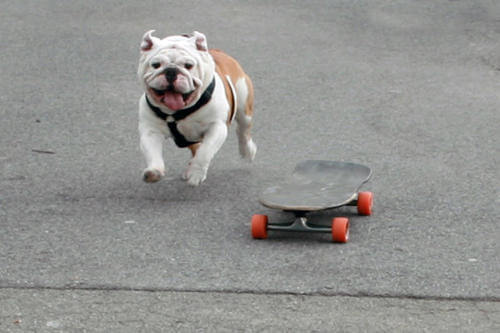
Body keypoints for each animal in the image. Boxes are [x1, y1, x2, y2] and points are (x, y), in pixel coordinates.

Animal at [138, 31, 258, 185]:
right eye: (156, 65)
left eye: (188, 65)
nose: (171, 70)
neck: (177, 112)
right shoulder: (150, 131)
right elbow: (152, 152)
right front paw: (154, 171)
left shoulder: (216, 127)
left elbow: (205, 152)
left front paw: (196, 174)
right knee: (196, 147)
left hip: (244, 108)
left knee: (243, 130)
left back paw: (247, 151)